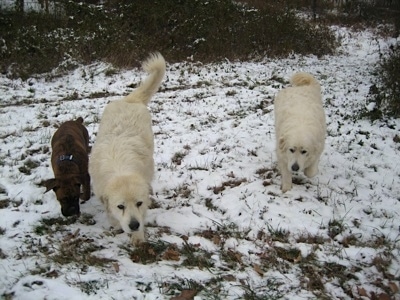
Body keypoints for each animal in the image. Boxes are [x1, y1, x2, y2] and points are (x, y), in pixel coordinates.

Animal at [89, 52, 166, 245]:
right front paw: (117, 224)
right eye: (120, 206)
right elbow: (110, 214)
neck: (120, 167)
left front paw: (138, 238)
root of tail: (130, 100)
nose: (134, 225)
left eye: (138, 203)